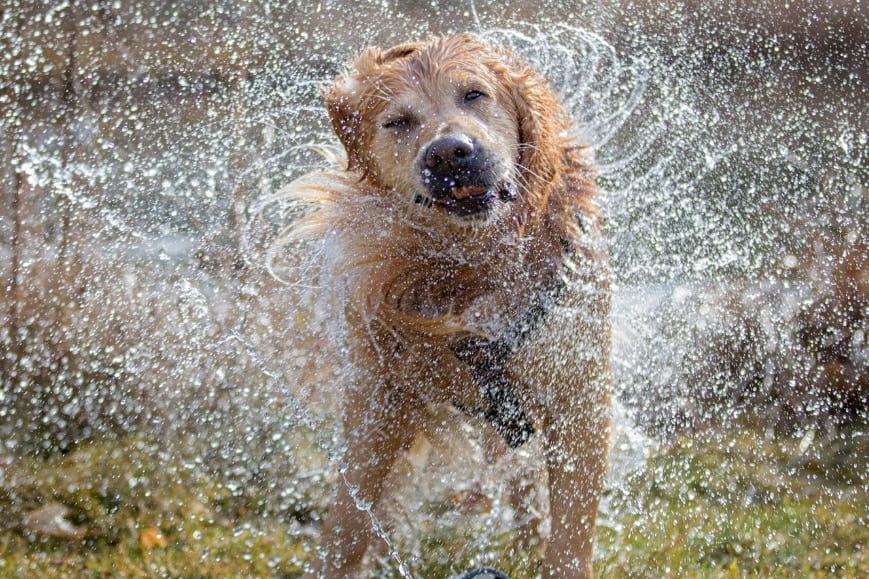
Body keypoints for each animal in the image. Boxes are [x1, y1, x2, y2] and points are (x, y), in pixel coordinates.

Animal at [284, 34, 612, 576]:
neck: (474, 264)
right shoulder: (379, 400)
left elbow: (570, 537)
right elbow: (348, 522)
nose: (449, 153)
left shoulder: (579, 399)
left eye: (474, 94)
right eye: (398, 121)